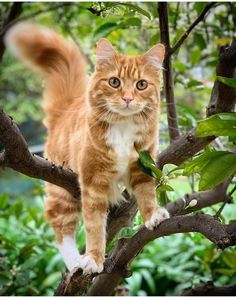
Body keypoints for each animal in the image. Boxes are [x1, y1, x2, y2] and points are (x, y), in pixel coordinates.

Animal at [5, 22, 170, 274]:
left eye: (141, 85)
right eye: (114, 82)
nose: (128, 99)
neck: (122, 127)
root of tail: (66, 108)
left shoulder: (142, 165)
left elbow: (146, 193)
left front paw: (153, 216)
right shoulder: (93, 180)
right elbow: (94, 226)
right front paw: (93, 258)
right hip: (61, 192)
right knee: (59, 224)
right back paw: (75, 263)